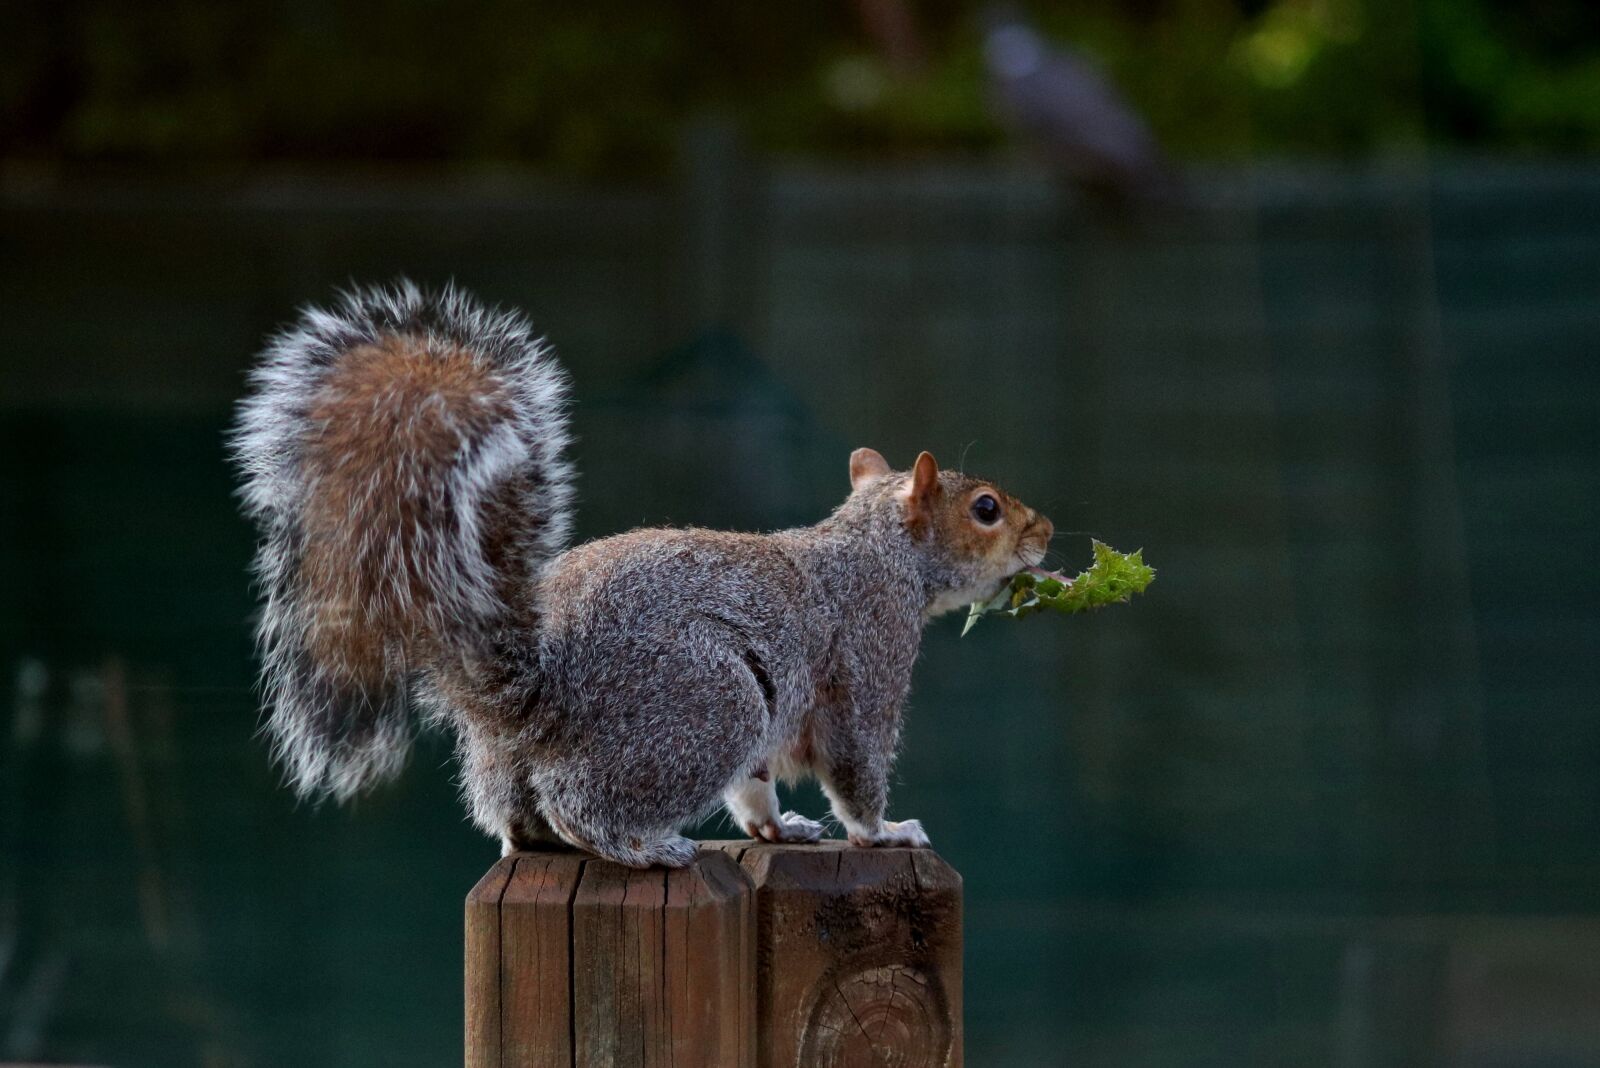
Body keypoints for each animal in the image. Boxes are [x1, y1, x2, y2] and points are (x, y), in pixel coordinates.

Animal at [232, 281, 1054, 868]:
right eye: (985, 509)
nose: (1044, 533)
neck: (879, 553)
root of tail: (543, 689)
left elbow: (755, 787)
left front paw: (780, 829)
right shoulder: (866, 661)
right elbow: (856, 766)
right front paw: (885, 833)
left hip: (527, 760)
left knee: (523, 824)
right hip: (709, 703)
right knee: (583, 807)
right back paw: (646, 846)